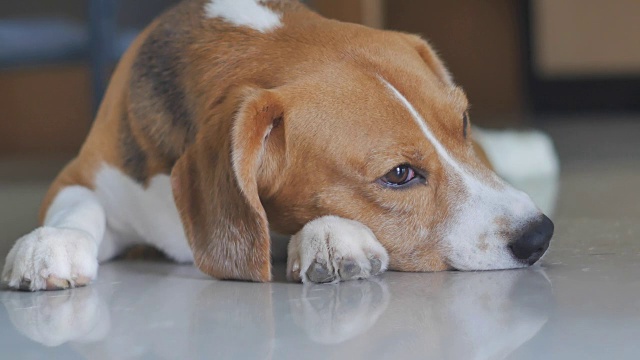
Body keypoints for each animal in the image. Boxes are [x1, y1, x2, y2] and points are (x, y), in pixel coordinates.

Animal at [1, 0, 556, 292]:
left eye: (461, 122)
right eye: (399, 174)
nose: (539, 234)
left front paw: (331, 236)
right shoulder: (86, 173)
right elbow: (79, 207)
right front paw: (50, 244)